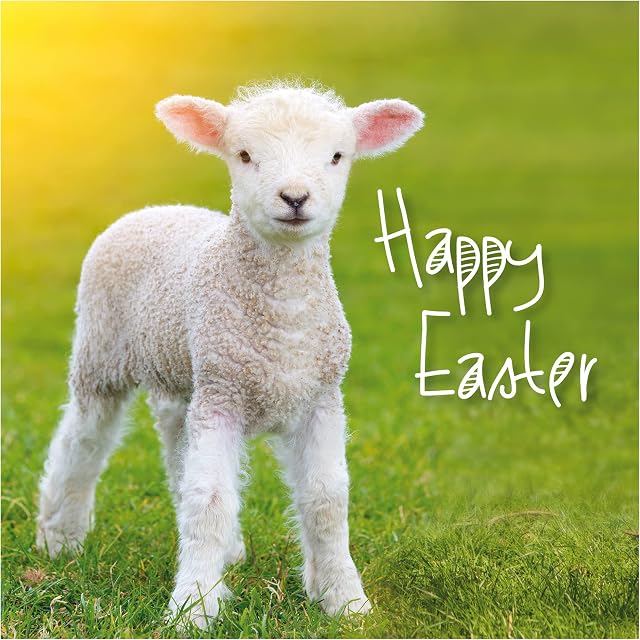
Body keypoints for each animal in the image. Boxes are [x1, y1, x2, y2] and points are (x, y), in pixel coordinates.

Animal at [36, 81, 424, 629]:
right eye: (243, 155)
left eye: (336, 156)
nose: (295, 197)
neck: (283, 320)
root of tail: (159, 208)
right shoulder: (222, 397)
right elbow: (211, 498)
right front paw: (193, 609)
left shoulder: (320, 397)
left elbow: (326, 500)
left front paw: (346, 602)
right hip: (103, 352)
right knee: (83, 440)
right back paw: (59, 537)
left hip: (185, 374)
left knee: (175, 446)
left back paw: (228, 549)